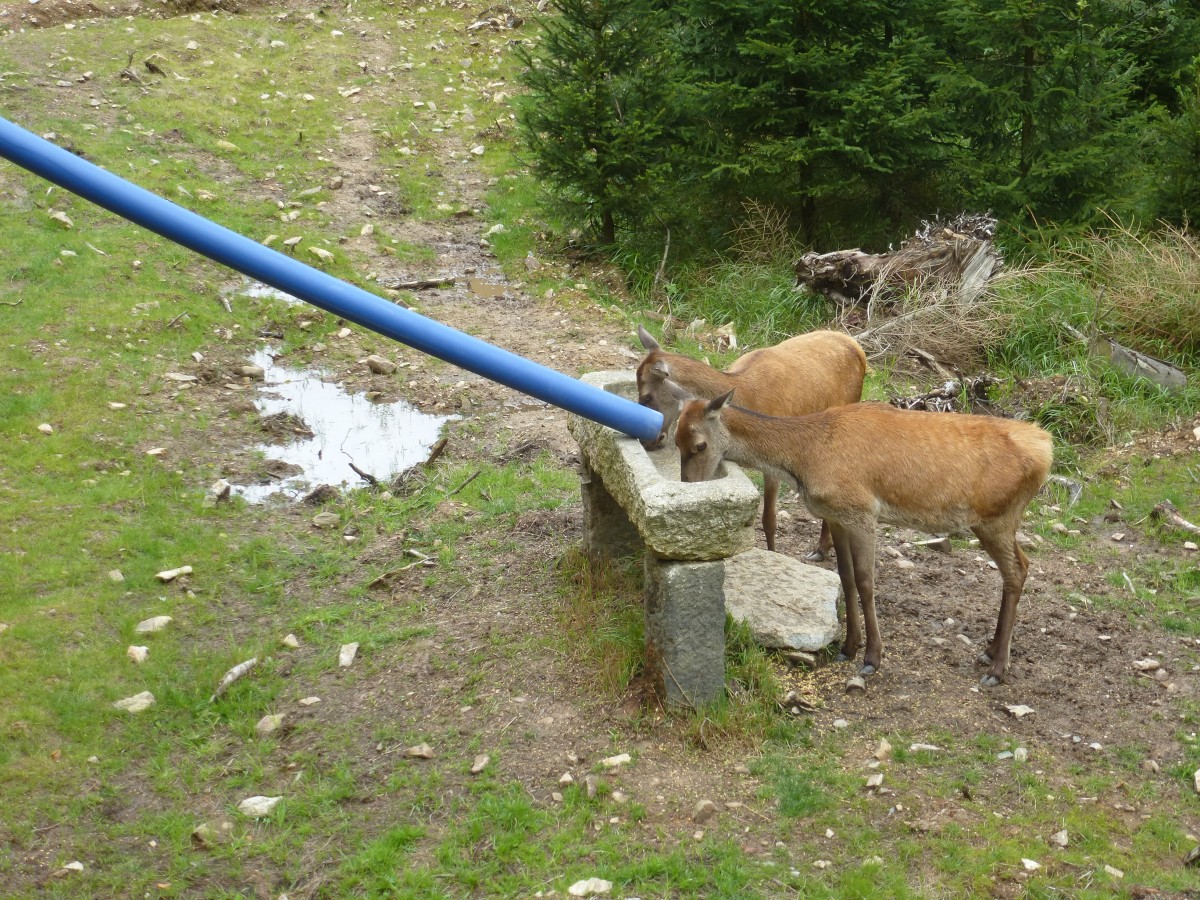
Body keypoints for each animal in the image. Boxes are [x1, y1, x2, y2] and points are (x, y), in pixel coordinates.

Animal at [633, 328, 868, 561]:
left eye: (646, 397)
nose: (648, 441)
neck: (747, 396)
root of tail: (859, 350)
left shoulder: (776, 459)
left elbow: (768, 519)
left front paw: (772, 554)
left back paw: (821, 549)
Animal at [676, 391, 1051, 686]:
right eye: (674, 440)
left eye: (699, 444)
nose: (688, 487)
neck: (805, 456)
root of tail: (1046, 449)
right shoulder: (836, 516)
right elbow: (845, 577)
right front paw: (848, 646)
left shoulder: (862, 512)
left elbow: (866, 582)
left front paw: (872, 658)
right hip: (995, 522)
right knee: (1020, 566)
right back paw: (990, 651)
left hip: (997, 518)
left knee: (1017, 570)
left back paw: (998, 669)